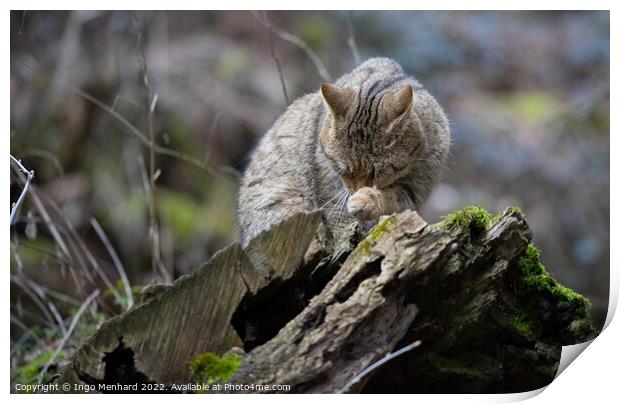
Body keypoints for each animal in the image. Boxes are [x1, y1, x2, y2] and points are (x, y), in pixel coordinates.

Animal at [239, 56, 450, 246]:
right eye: (344, 171)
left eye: (378, 173)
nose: (356, 189)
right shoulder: (328, 191)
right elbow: (340, 220)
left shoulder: (416, 189)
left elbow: (393, 198)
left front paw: (366, 200)